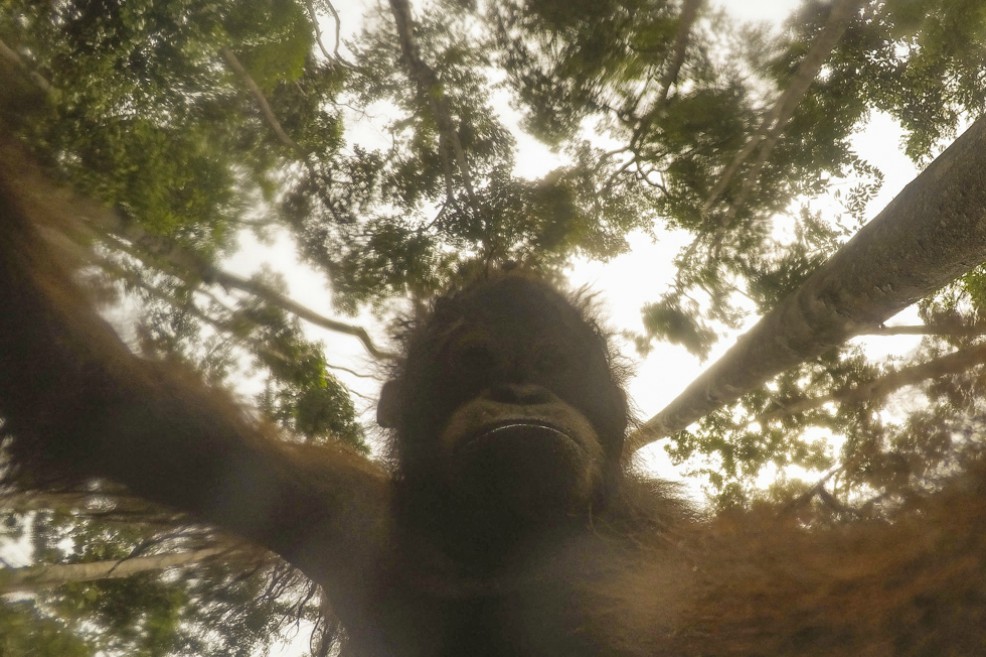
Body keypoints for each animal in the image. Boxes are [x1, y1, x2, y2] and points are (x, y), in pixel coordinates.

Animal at [1, 140, 985, 656]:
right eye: (477, 364)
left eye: (551, 361)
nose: (520, 388)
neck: (502, 544)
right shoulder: (329, 502)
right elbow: (81, 397)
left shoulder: (664, 548)